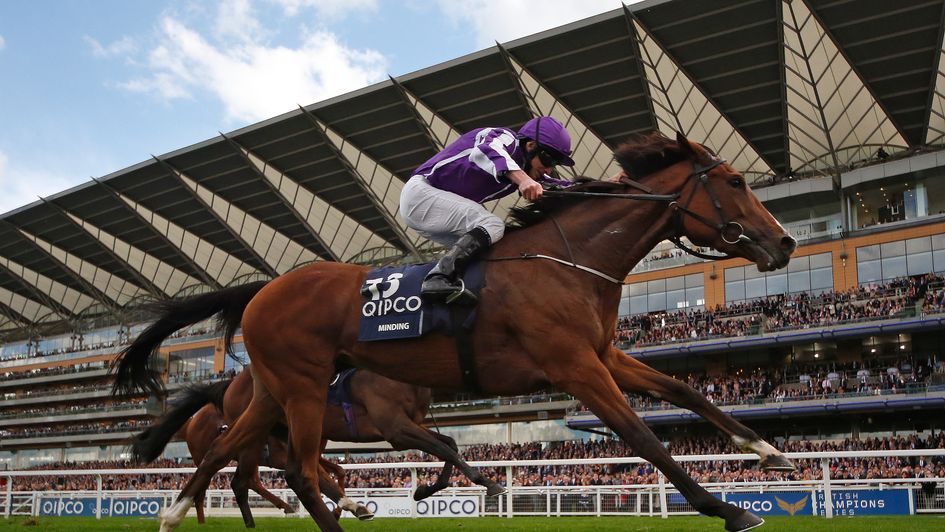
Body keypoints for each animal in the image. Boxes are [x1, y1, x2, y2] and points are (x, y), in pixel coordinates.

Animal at [116, 133, 796, 532]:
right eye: (736, 182)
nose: (786, 243)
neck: (567, 258)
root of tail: (263, 290)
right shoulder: (574, 365)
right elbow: (641, 436)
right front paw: (728, 509)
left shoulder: (602, 352)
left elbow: (685, 392)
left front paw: (767, 450)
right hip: (303, 390)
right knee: (301, 474)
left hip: (270, 394)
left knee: (229, 458)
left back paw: (176, 512)